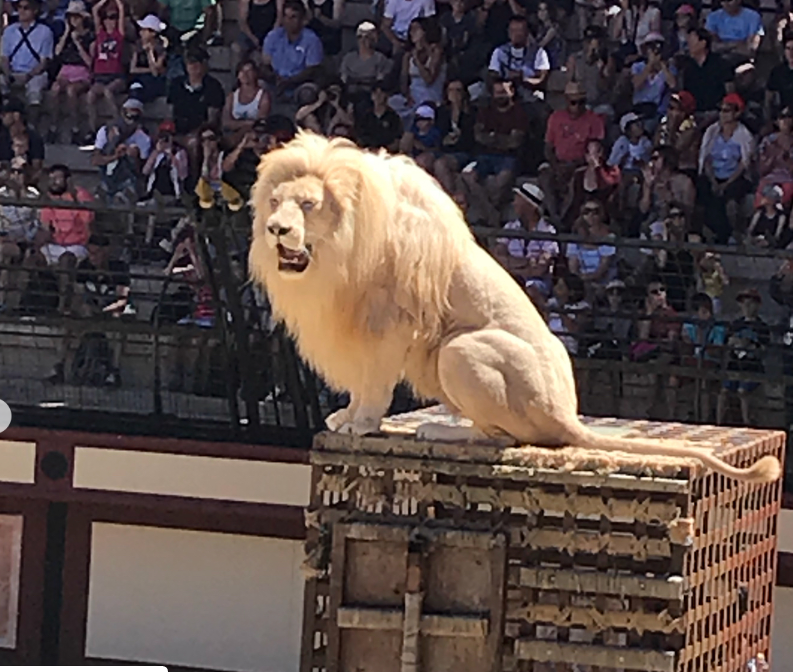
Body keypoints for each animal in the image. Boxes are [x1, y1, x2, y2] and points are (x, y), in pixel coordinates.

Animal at [251, 131, 784, 486]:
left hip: (458, 352)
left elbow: (376, 384)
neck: (335, 256)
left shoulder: (392, 321)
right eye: (275, 202)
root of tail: (567, 415)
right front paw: (347, 416)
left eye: (308, 204)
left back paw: (437, 431)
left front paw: (362, 424)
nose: (276, 230)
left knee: (505, 439)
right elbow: (363, 382)